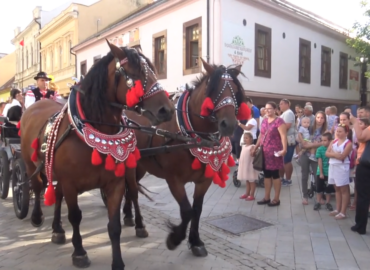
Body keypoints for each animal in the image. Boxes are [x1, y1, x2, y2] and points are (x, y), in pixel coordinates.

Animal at [19, 41, 175, 268]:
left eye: (153, 70)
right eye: (133, 73)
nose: (167, 110)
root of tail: (34, 108)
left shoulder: (114, 183)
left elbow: (114, 225)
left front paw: (117, 261)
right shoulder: (70, 183)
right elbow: (75, 216)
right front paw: (79, 252)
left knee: (58, 194)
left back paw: (57, 229)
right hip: (32, 165)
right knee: (38, 186)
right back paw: (37, 216)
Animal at [123, 59, 250, 258]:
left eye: (236, 91)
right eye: (213, 89)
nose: (228, 125)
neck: (189, 135)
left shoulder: (204, 180)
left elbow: (197, 210)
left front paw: (196, 241)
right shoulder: (174, 180)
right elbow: (187, 211)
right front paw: (174, 239)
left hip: (142, 167)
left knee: (129, 190)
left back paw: (128, 216)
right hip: (129, 165)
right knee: (133, 191)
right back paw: (139, 224)